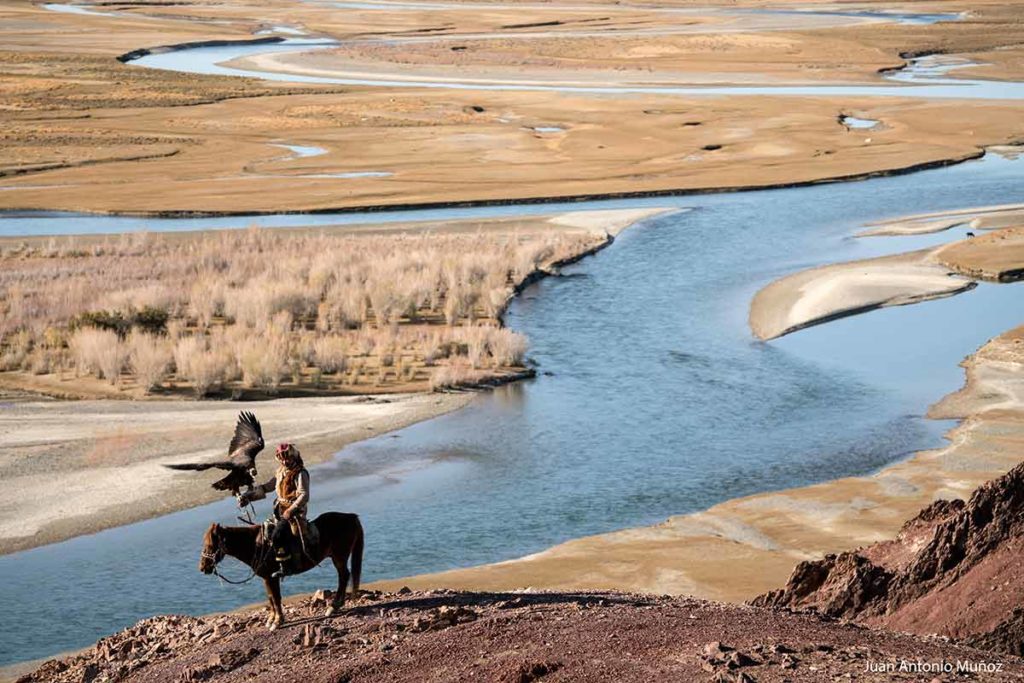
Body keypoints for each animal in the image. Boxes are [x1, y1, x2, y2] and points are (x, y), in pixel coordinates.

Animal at [197, 511, 362, 630]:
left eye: (210, 546)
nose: (203, 567)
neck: (255, 544)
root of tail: (351, 516)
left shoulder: (271, 577)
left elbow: (276, 598)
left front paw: (277, 622)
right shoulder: (266, 578)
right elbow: (271, 597)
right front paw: (271, 620)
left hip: (339, 557)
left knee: (343, 576)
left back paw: (333, 607)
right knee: (344, 576)